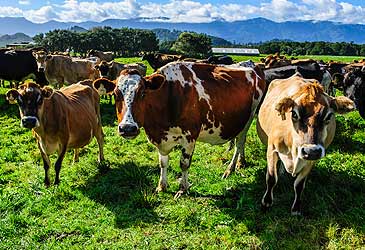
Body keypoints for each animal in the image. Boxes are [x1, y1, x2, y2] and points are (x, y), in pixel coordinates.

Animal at [92, 61, 264, 198]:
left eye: (142, 93)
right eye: (116, 94)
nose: (127, 128)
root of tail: (253, 66)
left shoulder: (190, 137)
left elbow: (184, 164)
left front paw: (183, 189)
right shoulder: (161, 138)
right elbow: (163, 163)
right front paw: (161, 186)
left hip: (249, 118)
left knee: (240, 143)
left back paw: (230, 168)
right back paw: (240, 163)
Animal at [256, 73, 352, 215]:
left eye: (329, 116)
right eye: (294, 114)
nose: (311, 151)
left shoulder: (311, 161)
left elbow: (299, 185)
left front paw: (296, 208)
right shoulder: (272, 149)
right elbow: (272, 178)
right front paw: (266, 203)